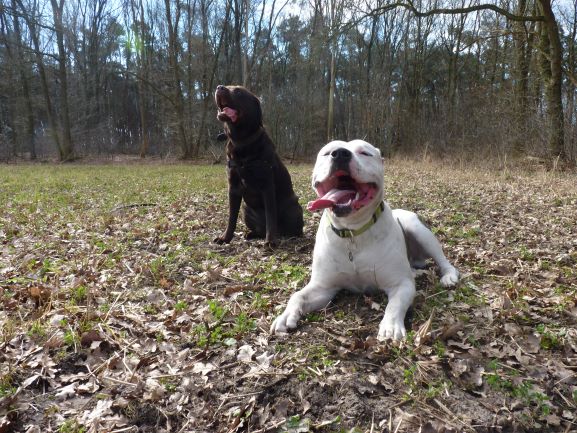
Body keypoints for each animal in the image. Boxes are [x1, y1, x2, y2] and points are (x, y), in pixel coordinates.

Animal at [212, 85, 302, 246]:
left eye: (238, 91)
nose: (219, 87)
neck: (242, 142)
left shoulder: (267, 186)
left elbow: (271, 217)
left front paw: (270, 241)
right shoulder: (233, 188)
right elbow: (231, 218)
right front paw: (225, 238)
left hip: (294, 210)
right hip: (246, 210)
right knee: (259, 228)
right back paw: (251, 234)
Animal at [272, 140, 460, 340]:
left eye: (365, 152)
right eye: (327, 152)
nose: (340, 153)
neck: (353, 232)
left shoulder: (401, 284)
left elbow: (394, 305)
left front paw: (391, 326)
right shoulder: (323, 287)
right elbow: (297, 295)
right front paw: (285, 315)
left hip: (418, 229)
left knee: (442, 260)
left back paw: (449, 276)